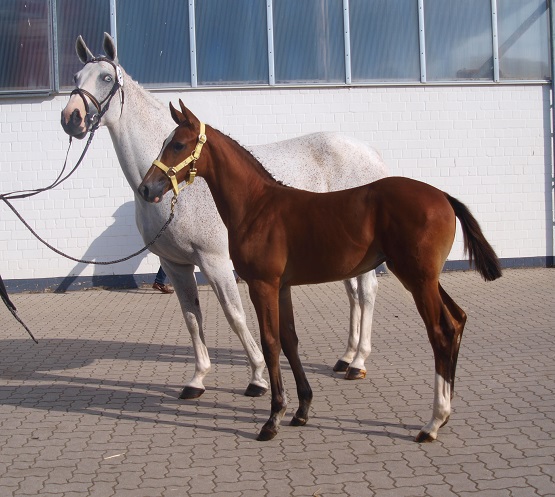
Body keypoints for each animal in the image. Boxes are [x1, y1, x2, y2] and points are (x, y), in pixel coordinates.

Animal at [60, 33, 389, 400]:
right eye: (75, 77)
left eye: (105, 77)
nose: (71, 117)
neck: (180, 188)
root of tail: (369, 153)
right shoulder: (176, 265)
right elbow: (192, 318)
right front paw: (197, 379)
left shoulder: (215, 260)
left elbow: (235, 315)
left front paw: (258, 377)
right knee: (353, 293)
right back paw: (346, 357)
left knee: (367, 291)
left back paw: (358, 361)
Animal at [138, 100, 502, 442]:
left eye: (178, 145)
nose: (146, 188)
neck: (258, 207)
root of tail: (443, 196)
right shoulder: (282, 286)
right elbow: (289, 340)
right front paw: (302, 410)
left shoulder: (262, 284)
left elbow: (270, 342)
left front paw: (273, 418)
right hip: (427, 278)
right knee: (458, 320)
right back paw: (444, 412)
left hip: (417, 278)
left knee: (441, 331)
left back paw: (432, 422)